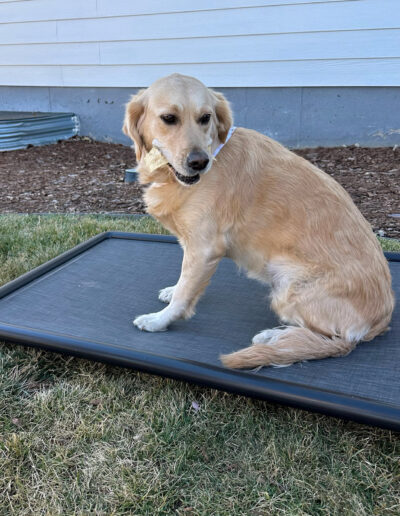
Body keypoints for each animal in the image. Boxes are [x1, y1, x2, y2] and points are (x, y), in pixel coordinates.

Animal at [122, 74, 394, 368]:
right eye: (169, 118)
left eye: (205, 117)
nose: (199, 163)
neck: (214, 150)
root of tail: (381, 320)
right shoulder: (192, 245)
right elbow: (183, 281)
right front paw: (172, 291)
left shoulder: (205, 248)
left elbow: (185, 293)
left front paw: (159, 320)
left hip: (287, 282)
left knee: (333, 339)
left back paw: (273, 337)